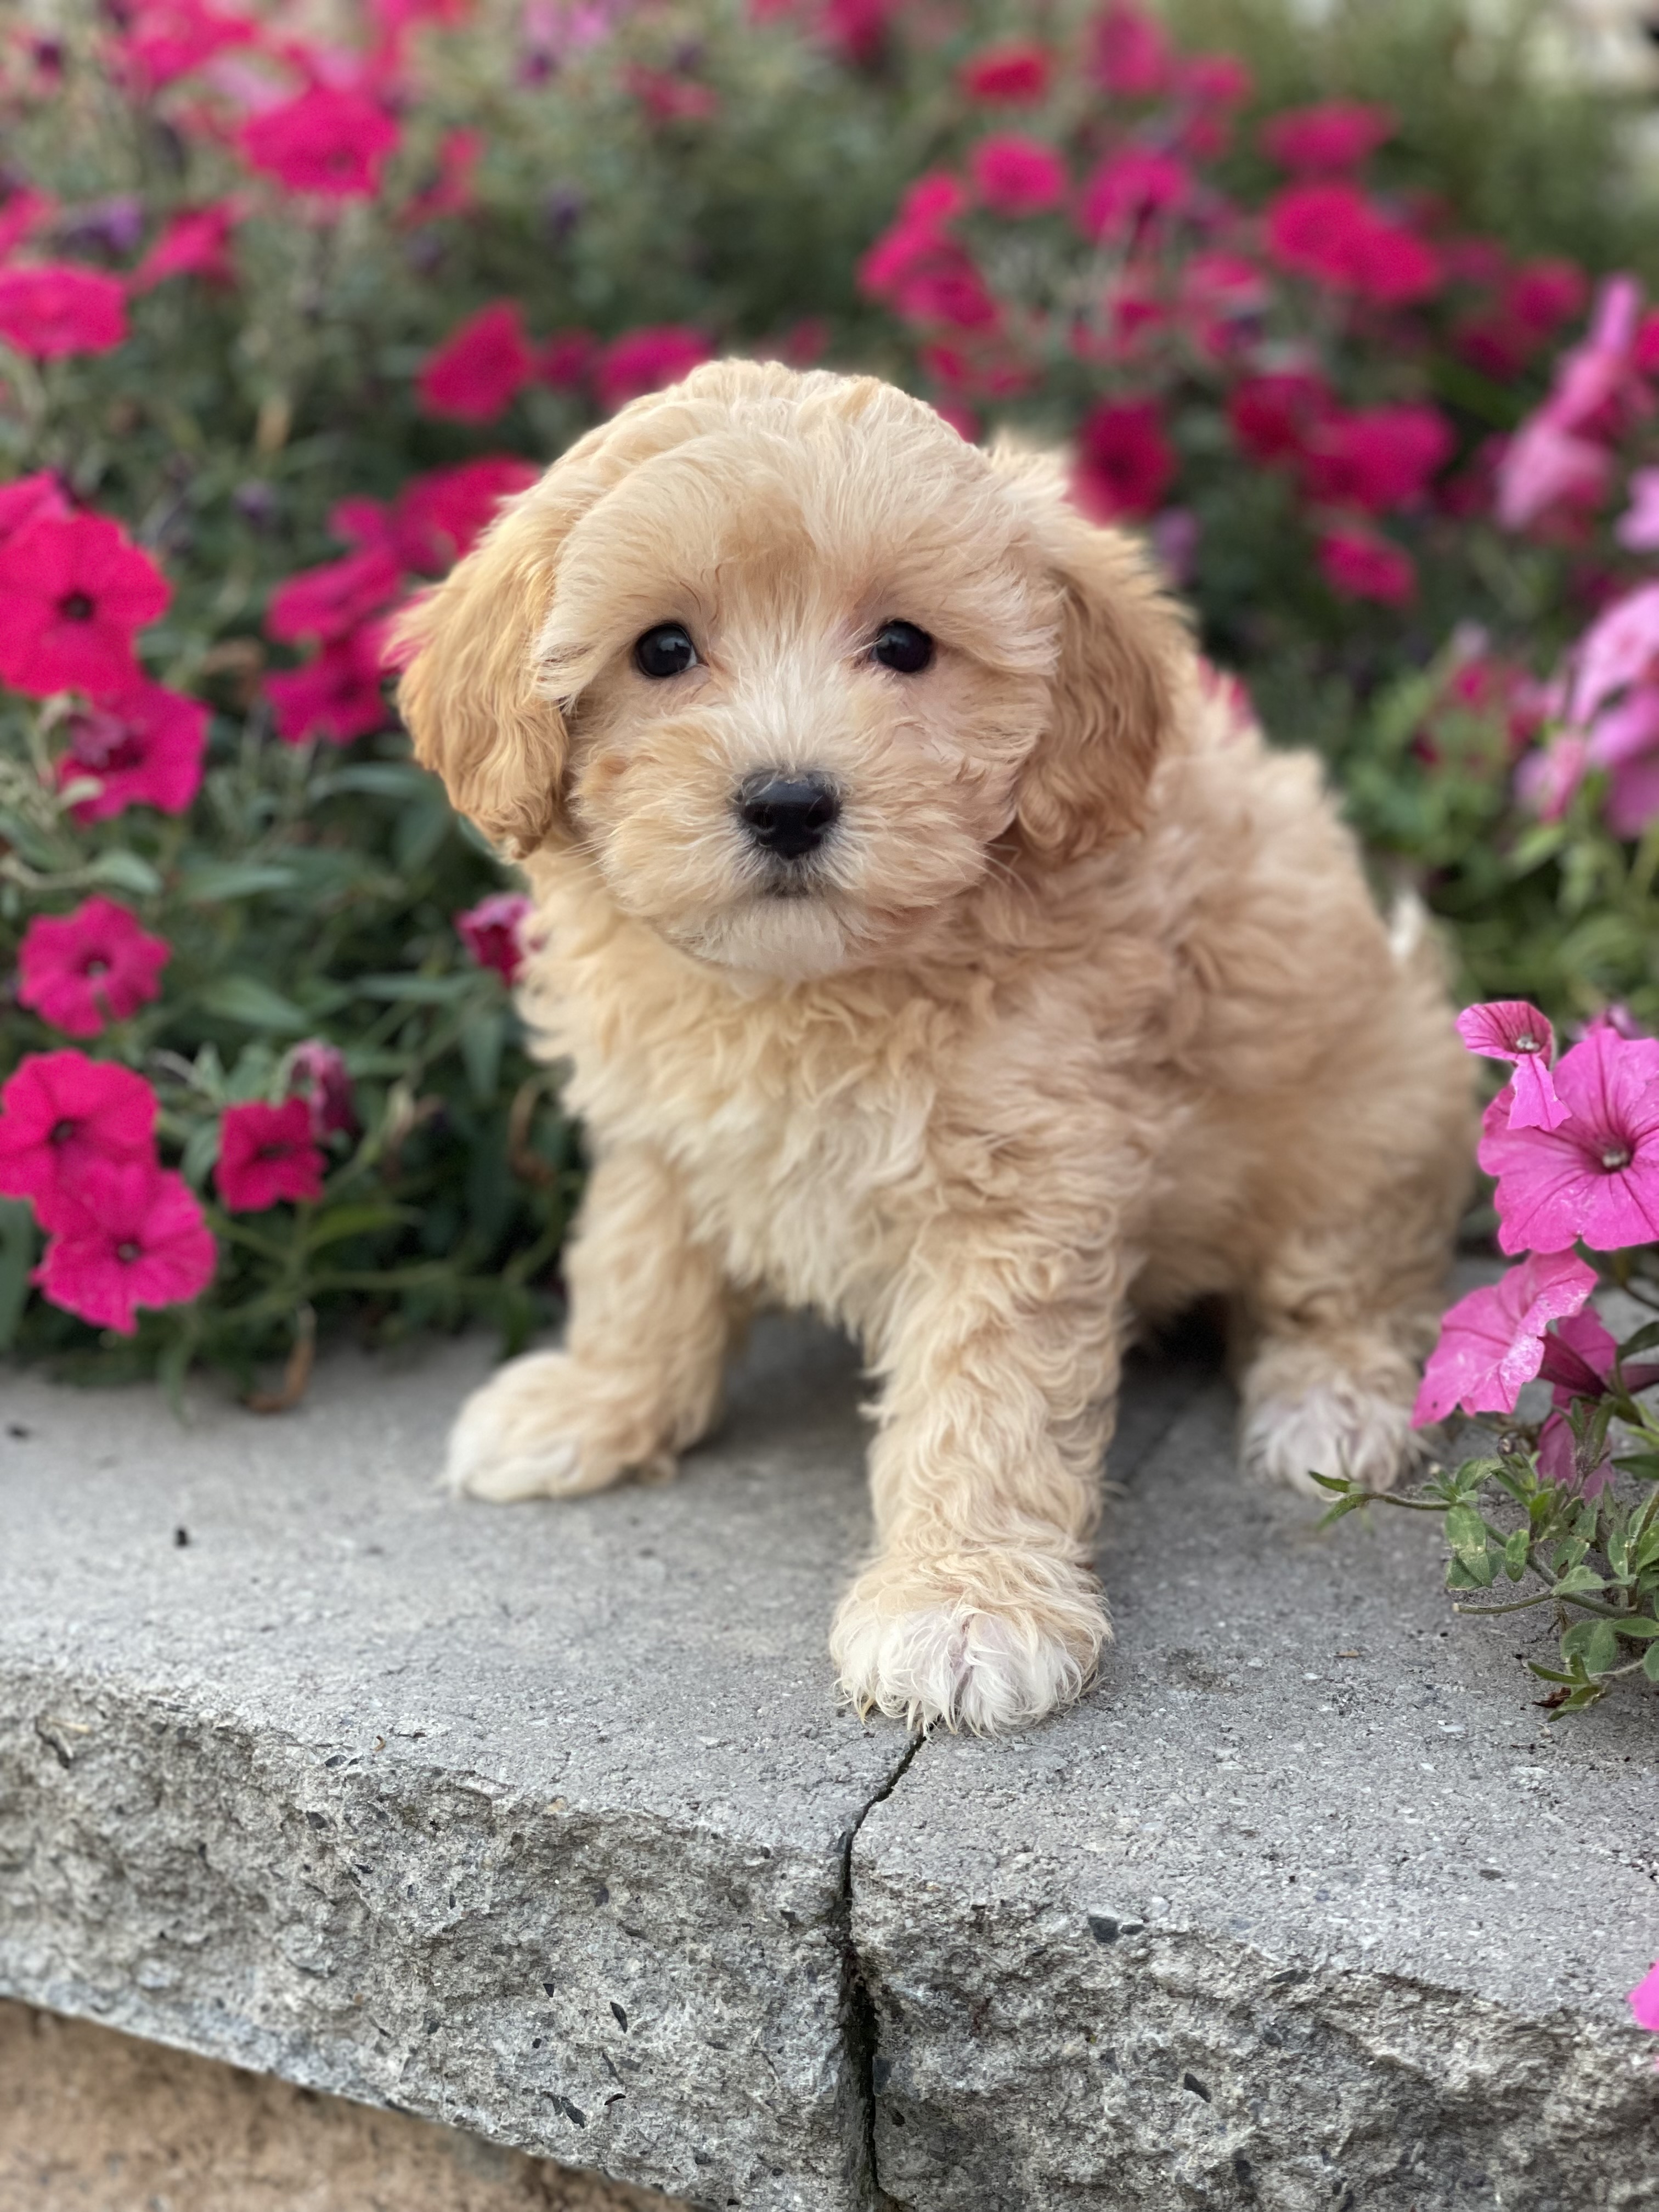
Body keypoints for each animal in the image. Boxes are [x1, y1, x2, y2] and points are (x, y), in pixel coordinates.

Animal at [393, 363, 1477, 1734]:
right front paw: (596, 1400)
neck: (810, 988)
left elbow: (985, 1400)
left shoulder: (1023, 1189)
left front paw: (964, 1602)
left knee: (1351, 1283)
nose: (789, 802)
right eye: (663, 650)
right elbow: (639, 1267)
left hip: (1370, 1105)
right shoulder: (661, 1125)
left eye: (905, 646)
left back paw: (1331, 1402)